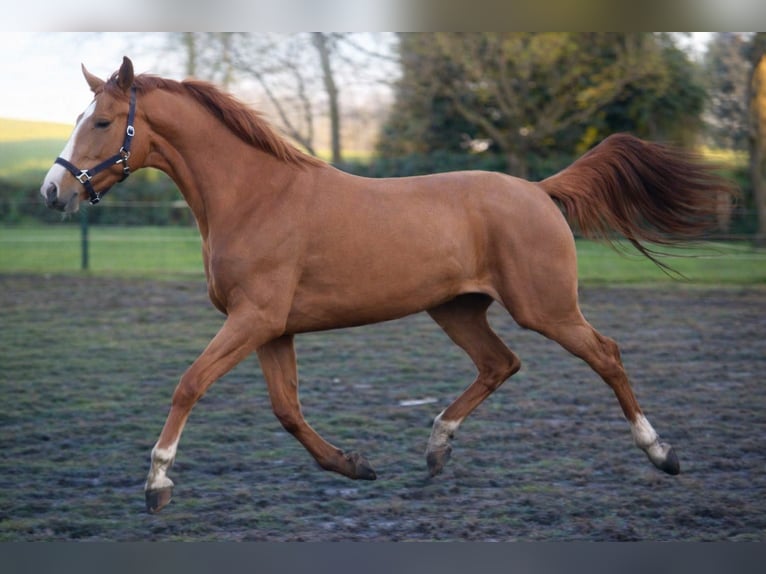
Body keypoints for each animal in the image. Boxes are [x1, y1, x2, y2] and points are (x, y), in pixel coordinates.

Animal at [41, 57, 736, 514]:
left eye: (102, 122)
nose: (53, 191)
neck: (256, 195)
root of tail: (539, 191)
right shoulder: (272, 328)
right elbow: (287, 410)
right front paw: (353, 466)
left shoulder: (253, 319)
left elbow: (189, 383)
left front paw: (157, 483)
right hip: (456, 309)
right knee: (500, 363)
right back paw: (436, 448)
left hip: (546, 307)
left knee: (606, 355)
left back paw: (661, 453)